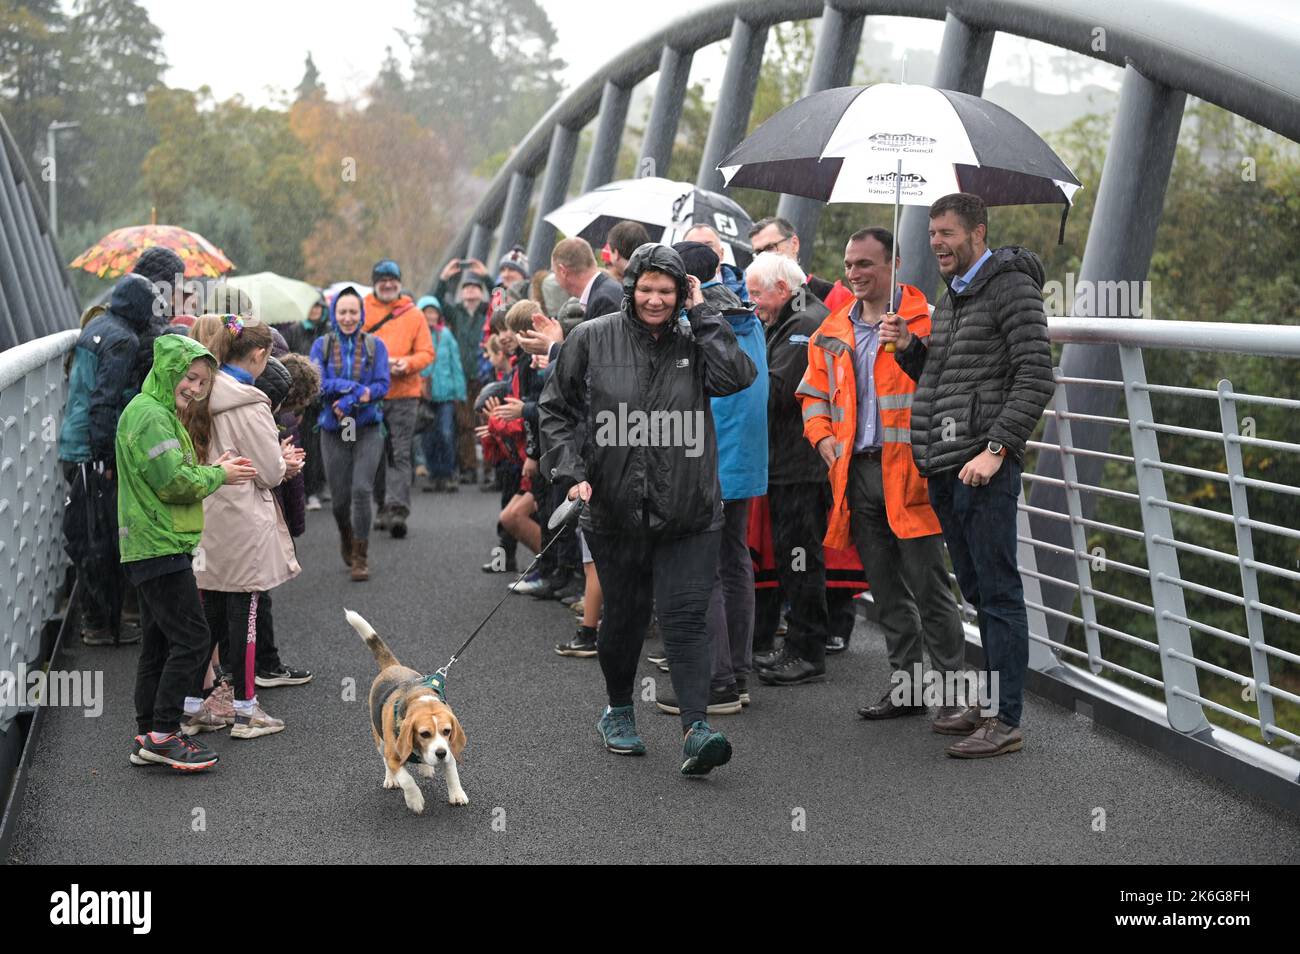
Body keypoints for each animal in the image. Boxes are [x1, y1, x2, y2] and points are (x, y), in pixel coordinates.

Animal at [345, 613, 467, 816]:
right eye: (424, 733)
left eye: (447, 731)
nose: (440, 753)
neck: (420, 699)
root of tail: (392, 666)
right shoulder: (393, 756)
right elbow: (406, 779)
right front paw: (414, 800)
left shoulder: (449, 750)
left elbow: (452, 773)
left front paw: (457, 794)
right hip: (380, 741)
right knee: (386, 761)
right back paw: (391, 779)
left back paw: (425, 767)